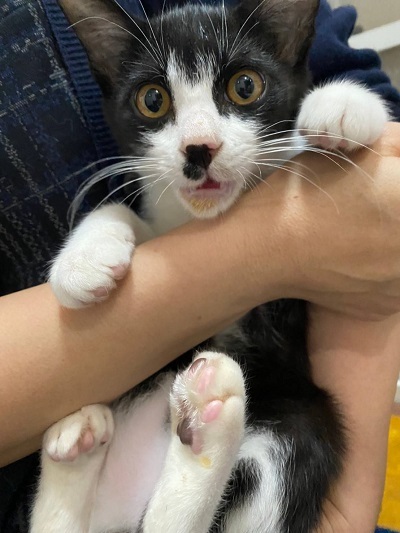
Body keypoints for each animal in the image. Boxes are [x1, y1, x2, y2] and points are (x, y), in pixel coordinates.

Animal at [29, 1, 389, 532]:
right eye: (152, 100)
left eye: (245, 86)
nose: (199, 147)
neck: (199, 218)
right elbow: (124, 213)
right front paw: (85, 259)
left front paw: (342, 105)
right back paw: (84, 442)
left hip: (298, 418)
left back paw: (201, 416)